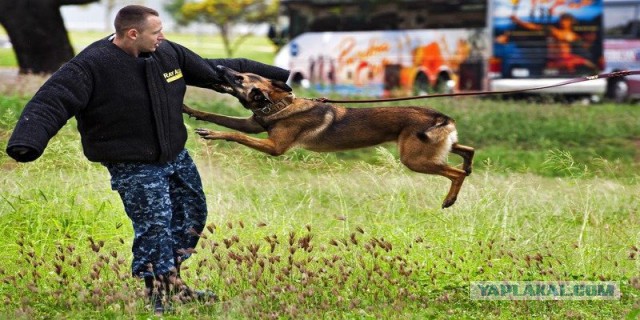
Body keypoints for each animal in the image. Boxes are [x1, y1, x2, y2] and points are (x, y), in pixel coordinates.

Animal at [182, 66, 472, 209]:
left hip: (414, 159)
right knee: (466, 150)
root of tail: (440, 116)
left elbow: (233, 133)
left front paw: (212, 134)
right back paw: (468, 166)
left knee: (455, 173)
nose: (220, 65)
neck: (279, 105)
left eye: (240, 78)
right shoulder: (253, 126)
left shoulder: (274, 147)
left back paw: (450, 199)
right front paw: (189, 110)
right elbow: (215, 115)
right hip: (433, 149)